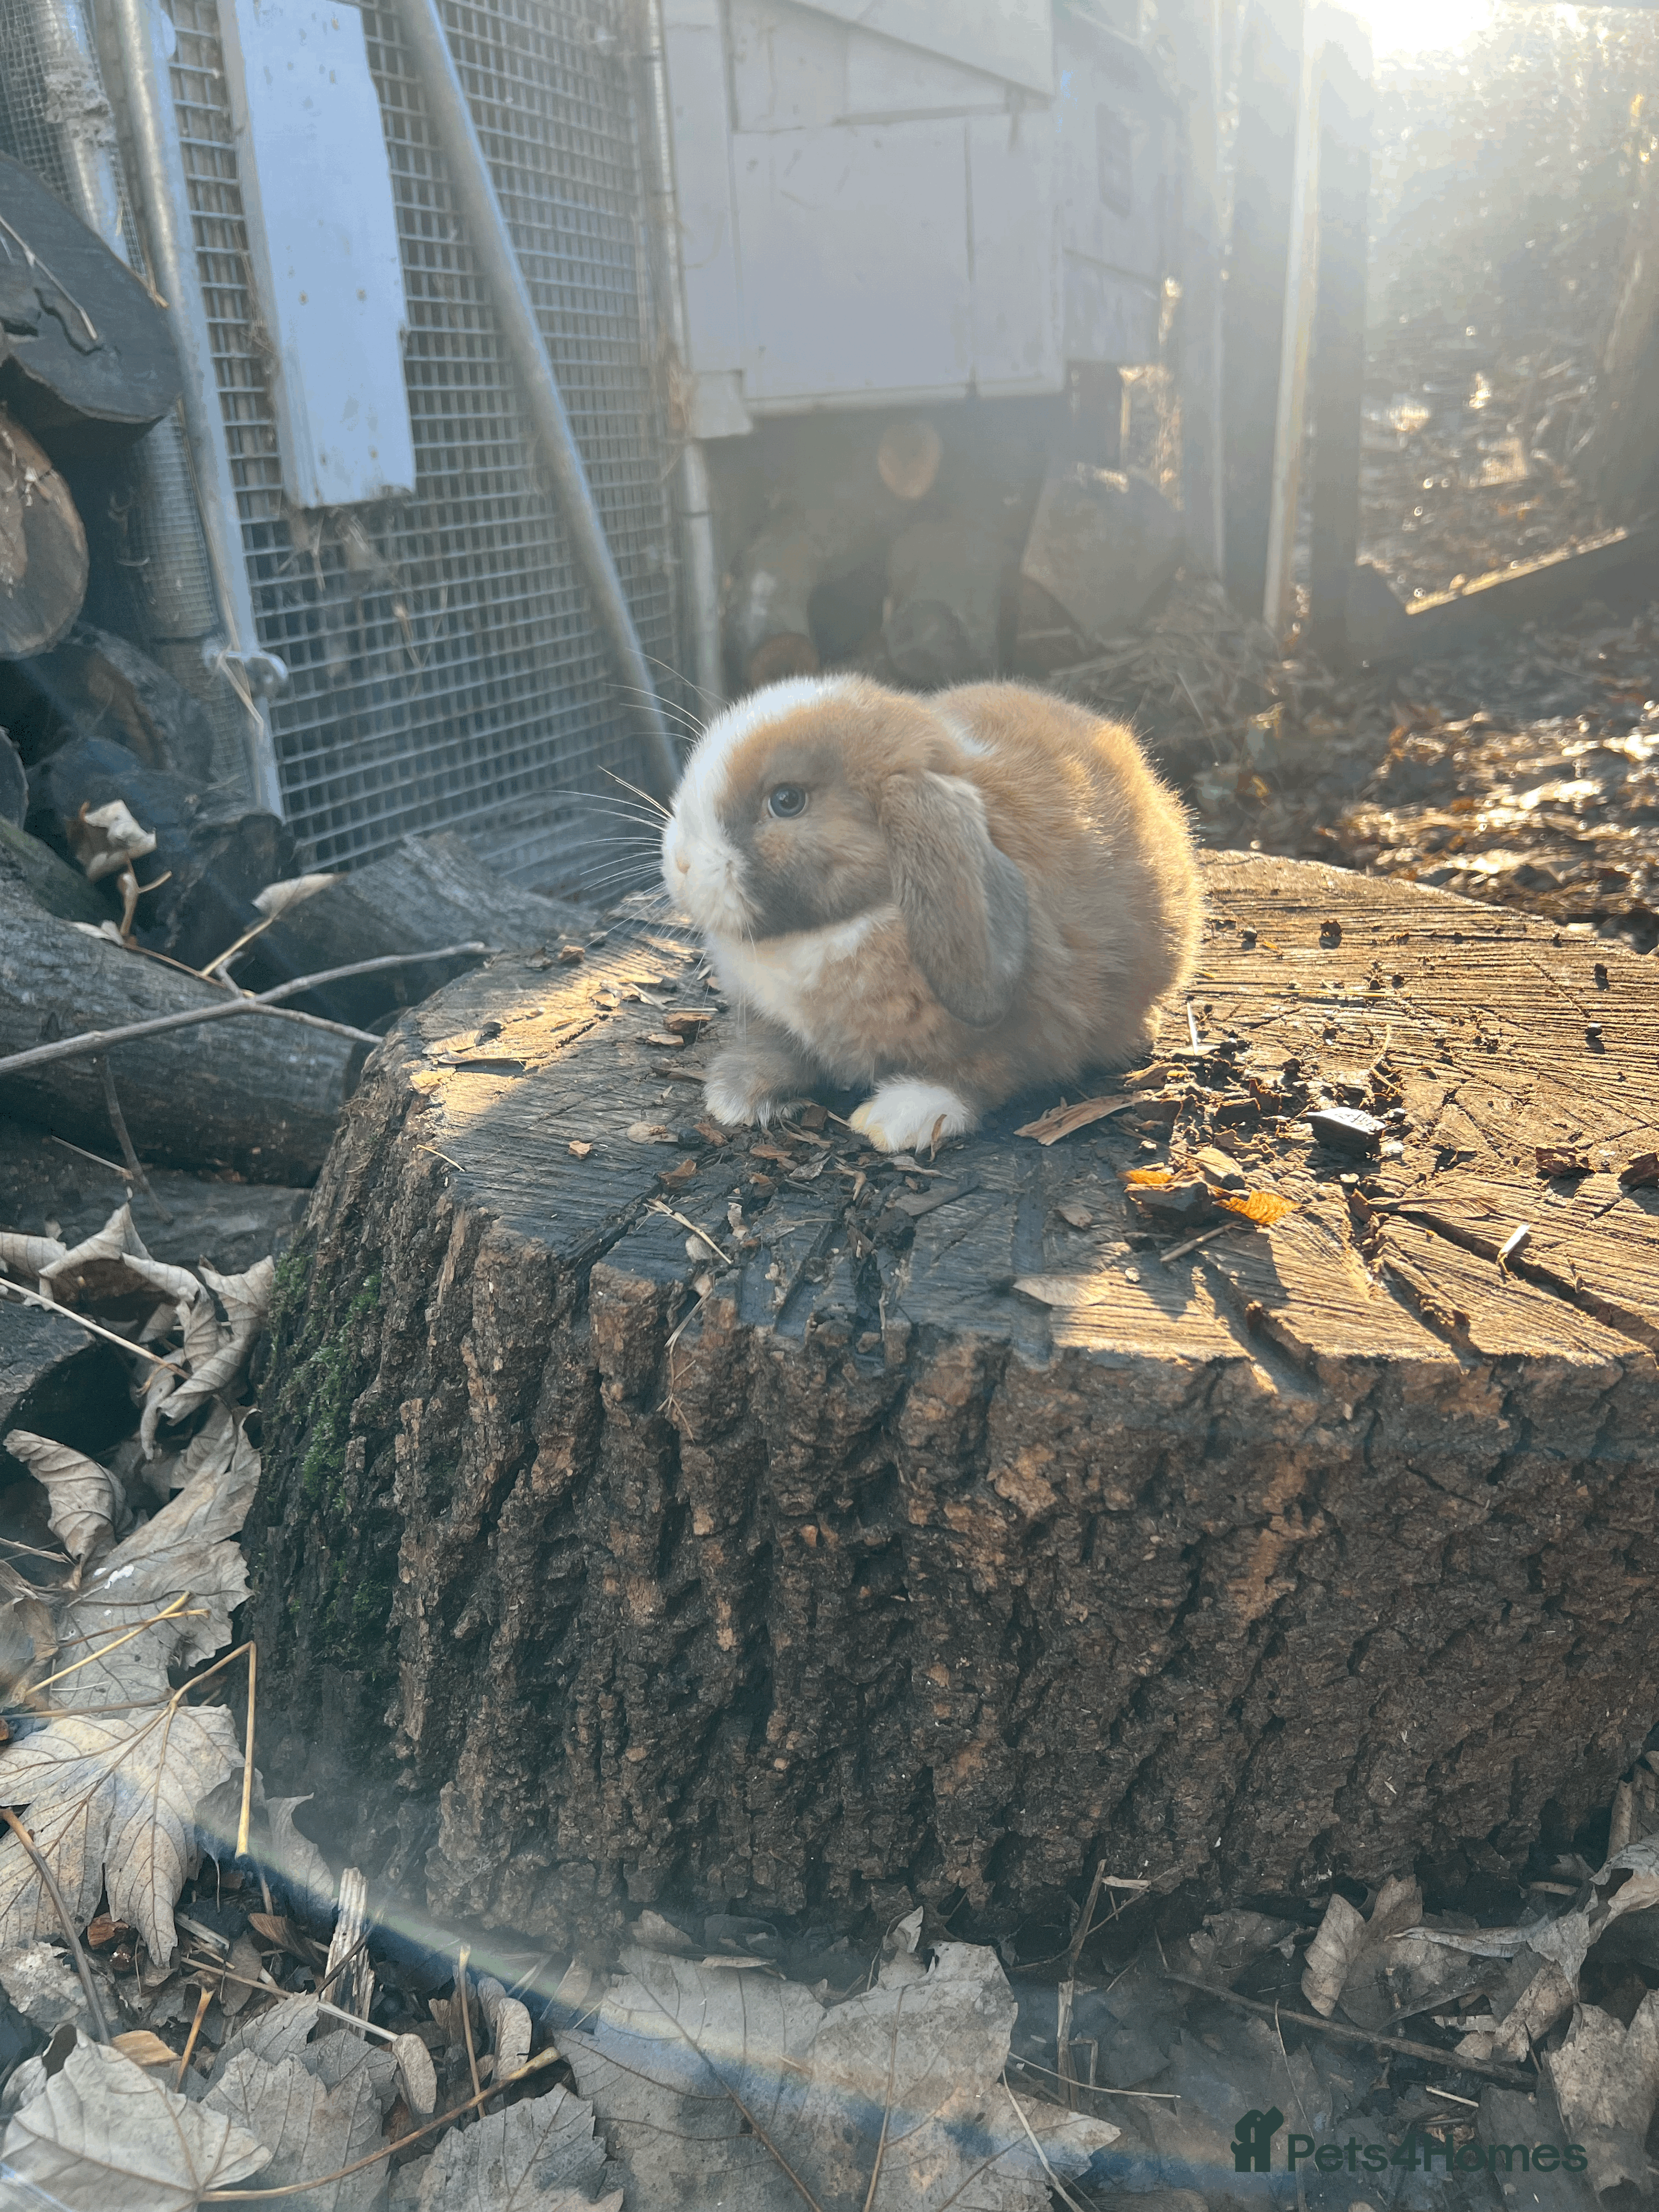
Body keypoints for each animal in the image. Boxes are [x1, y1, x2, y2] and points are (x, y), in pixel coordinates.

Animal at [660, 674, 1201, 1154]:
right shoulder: (780, 1020)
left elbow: (975, 1076)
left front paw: (900, 1117)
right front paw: (738, 1092)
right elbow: (782, 1046)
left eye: (787, 800)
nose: (680, 862)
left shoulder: (1019, 1035)